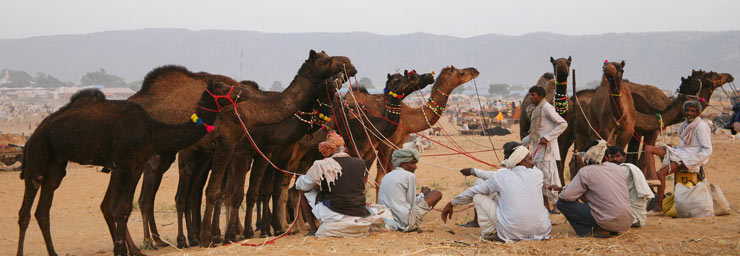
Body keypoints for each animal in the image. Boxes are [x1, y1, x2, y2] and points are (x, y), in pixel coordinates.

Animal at [16, 81, 237, 256]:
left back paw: (54, 252)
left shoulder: (136, 166)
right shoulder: (125, 165)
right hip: (37, 153)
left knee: (43, 209)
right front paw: (121, 250)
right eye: (221, 88)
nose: (238, 93)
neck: (153, 131)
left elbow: (125, 208)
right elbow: (120, 208)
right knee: (26, 209)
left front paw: (129, 250)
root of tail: (34, 132)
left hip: (56, 163)